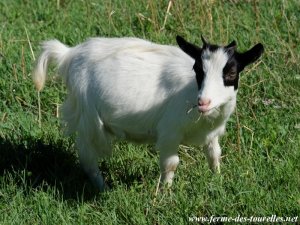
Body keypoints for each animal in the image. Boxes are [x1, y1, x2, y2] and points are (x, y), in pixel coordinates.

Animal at [31, 36, 264, 191]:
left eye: (231, 72)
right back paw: (102, 187)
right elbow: (171, 163)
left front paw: (218, 180)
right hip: (88, 117)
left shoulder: (212, 134)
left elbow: (214, 155)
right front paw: (166, 193)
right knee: (87, 155)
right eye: (198, 70)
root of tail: (69, 54)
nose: (203, 101)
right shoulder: (170, 132)